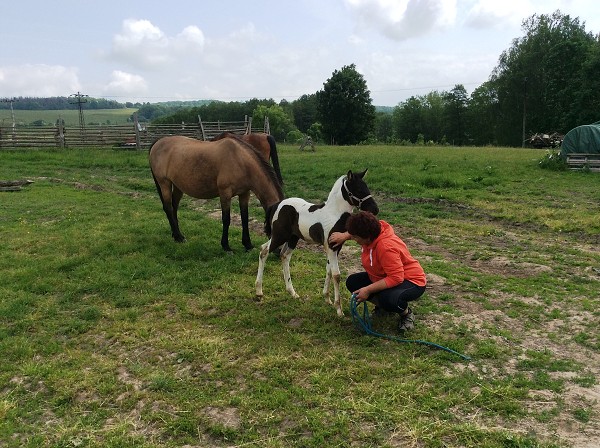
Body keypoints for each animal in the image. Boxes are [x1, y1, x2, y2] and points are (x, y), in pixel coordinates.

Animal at [149, 133, 282, 252]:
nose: (279, 251)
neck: (240, 161)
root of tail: (158, 142)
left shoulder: (244, 193)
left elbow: (245, 218)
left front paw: (248, 244)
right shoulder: (225, 193)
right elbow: (226, 219)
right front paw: (226, 246)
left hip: (178, 186)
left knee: (174, 207)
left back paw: (177, 235)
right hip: (164, 183)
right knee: (168, 208)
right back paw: (178, 237)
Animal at [254, 169, 378, 318]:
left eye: (367, 187)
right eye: (359, 189)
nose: (375, 209)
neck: (335, 214)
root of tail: (276, 205)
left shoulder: (337, 247)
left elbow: (329, 270)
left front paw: (327, 298)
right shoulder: (331, 248)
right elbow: (336, 275)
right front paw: (339, 309)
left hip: (292, 238)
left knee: (284, 256)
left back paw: (292, 292)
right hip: (279, 236)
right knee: (264, 250)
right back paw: (259, 291)